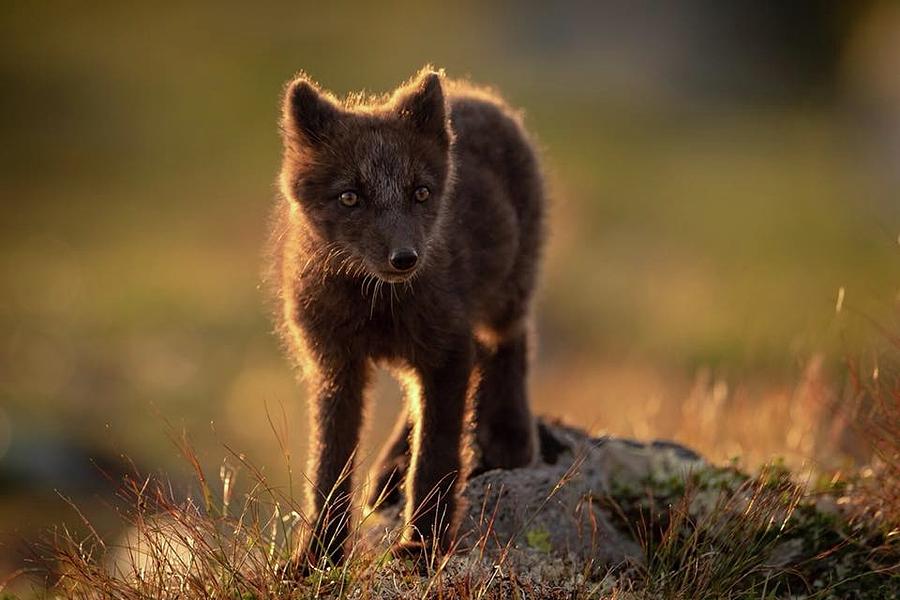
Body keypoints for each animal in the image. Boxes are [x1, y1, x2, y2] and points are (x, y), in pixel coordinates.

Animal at [268, 68, 544, 568]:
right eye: (350, 197)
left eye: (420, 193)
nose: (405, 258)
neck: (376, 305)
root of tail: (477, 94)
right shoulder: (335, 366)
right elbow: (329, 467)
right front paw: (318, 557)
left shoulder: (448, 350)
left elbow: (435, 458)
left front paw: (421, 548)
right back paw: (390, 472)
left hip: (508, 288)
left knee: (508, 340)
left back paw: (508, 436)